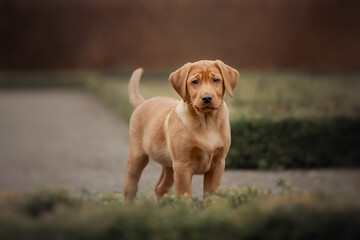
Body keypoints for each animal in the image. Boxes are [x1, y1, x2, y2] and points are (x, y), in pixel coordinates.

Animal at [124, 60, 239, 201]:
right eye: (194, 82)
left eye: (216, 80)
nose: (207, 98)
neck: (207, 123)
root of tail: (143, 102)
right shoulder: (182, 166)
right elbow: (185, 196)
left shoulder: (218, 164)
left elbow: (210, 195)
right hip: (138, 156)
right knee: (130, 186)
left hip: (169, 165)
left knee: (160, 188)